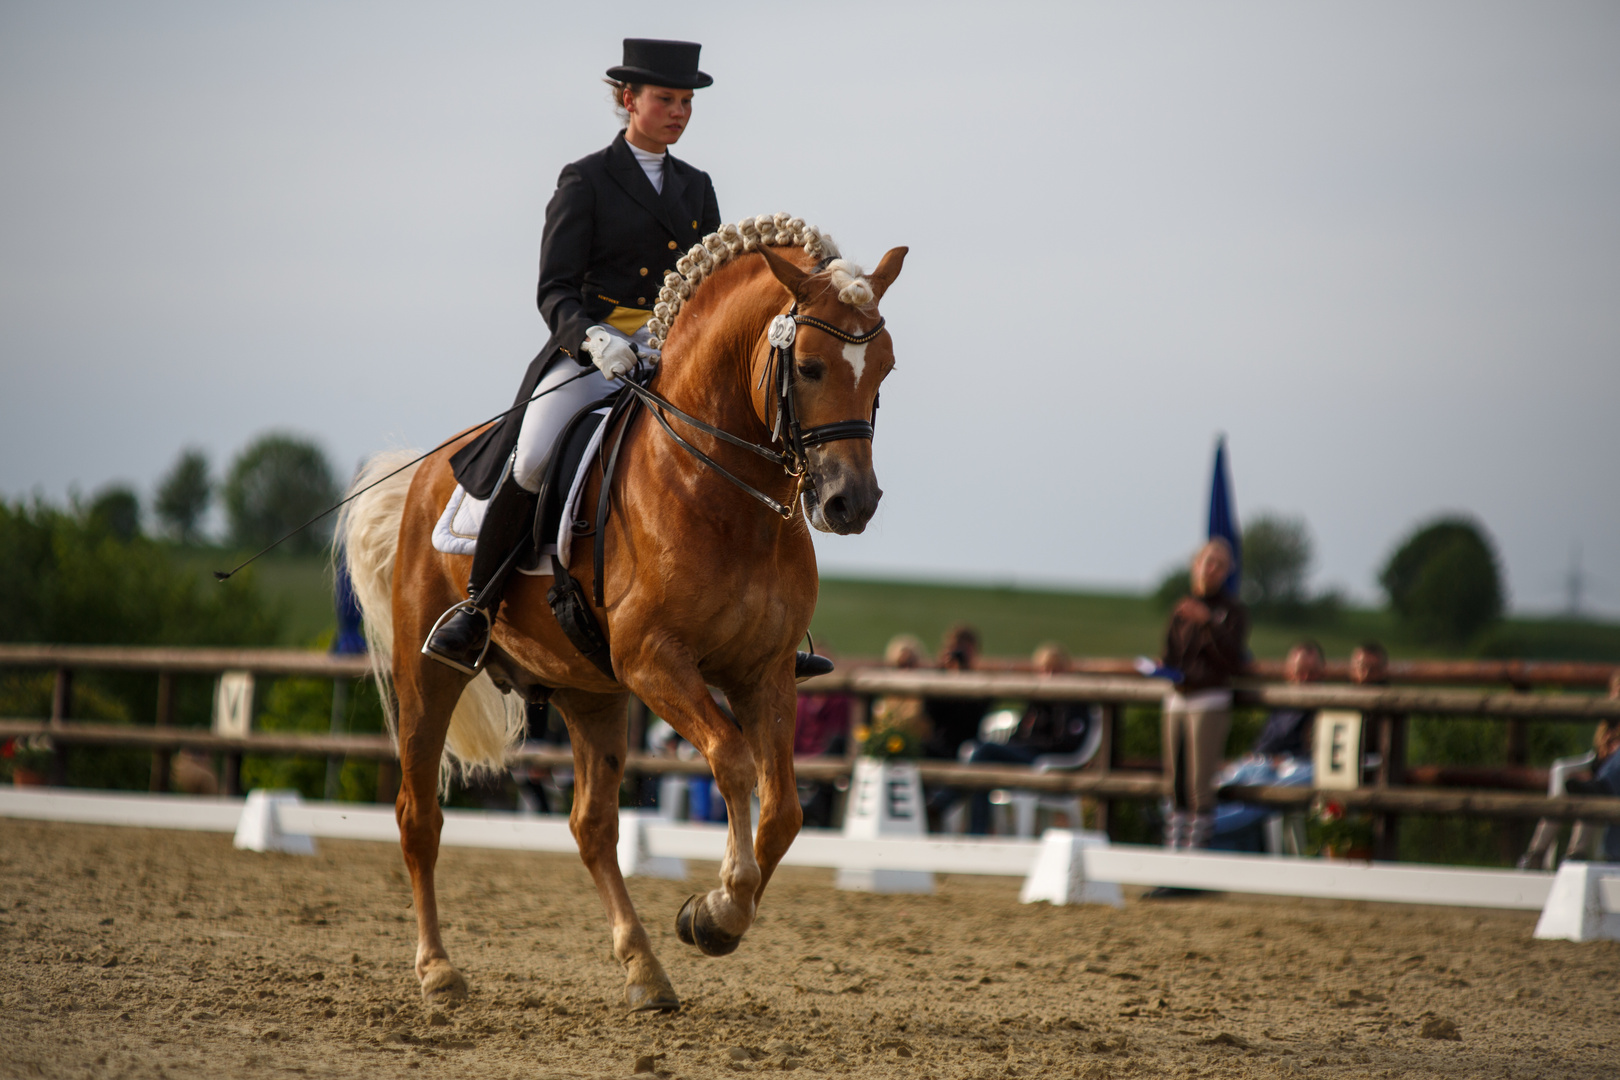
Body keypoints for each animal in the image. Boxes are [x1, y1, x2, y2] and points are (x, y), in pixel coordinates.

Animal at [341, 220, 907, 1016]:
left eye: (884, 368)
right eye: (812, 366)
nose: (849, 504)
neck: (721, 488)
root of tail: (425, 469)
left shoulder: (762, 670)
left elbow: (785, 810)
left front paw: (709, 920)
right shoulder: (654, 661)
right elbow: (733, 760)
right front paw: (722, 906)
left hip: (591, 694)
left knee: (591, 827)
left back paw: (644, 970)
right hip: (431, 675)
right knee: (417, 816)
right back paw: (438, 971)